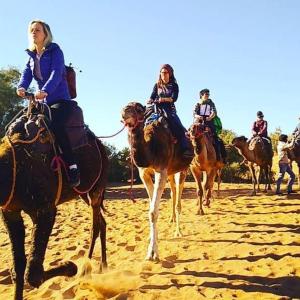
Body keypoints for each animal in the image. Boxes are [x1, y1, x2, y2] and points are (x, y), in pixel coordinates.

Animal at [0, 103, 108, 300]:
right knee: (101, 222)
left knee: (95, 225)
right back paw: (103, 266)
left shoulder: (45, 209)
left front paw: (70, 266)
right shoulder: (10, 210)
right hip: (84, 192)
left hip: (97, 187)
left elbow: (33, 275)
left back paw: (85, 269)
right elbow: (17, 268)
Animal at [121, 101, 193, 260]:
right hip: (171, 172)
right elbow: (151, 208)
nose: (124, 111)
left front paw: (153, 253)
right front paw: (153, 238)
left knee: (178, 200)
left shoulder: (161, 170)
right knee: (173, 193)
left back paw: (178, 231)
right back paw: (172, 220)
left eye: (138, 108)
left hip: (182, 170)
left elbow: (153, 211)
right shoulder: (144, 174)